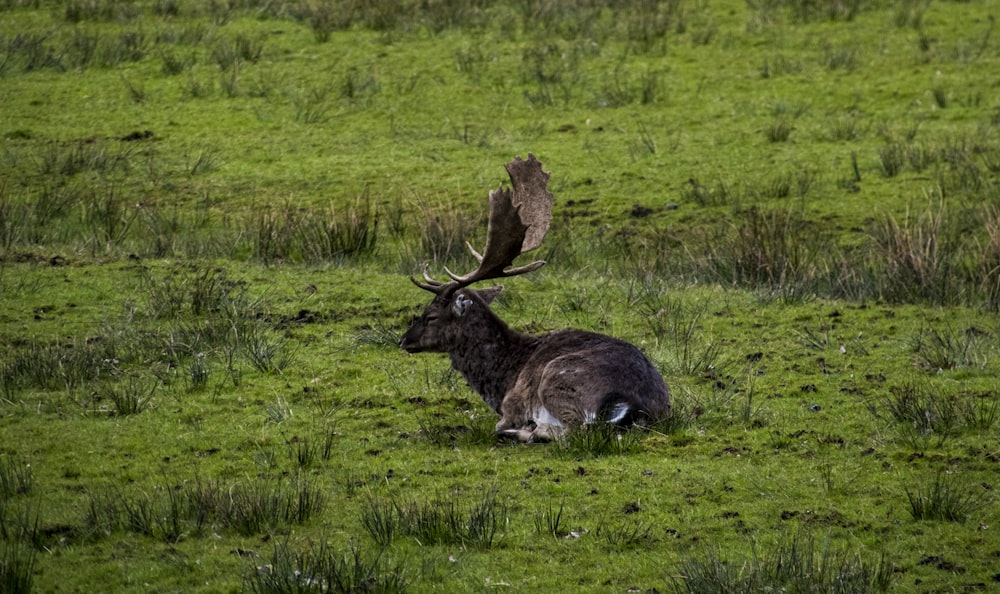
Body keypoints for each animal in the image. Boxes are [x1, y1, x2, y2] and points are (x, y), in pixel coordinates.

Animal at [398, 155, 672, 442]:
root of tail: (634, 404)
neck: (503, 376)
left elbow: (500, 425)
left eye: (430, 316)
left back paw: (530, 431)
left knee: (573, 430)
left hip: (557, 378)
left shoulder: (512, 405)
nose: (403, 340)